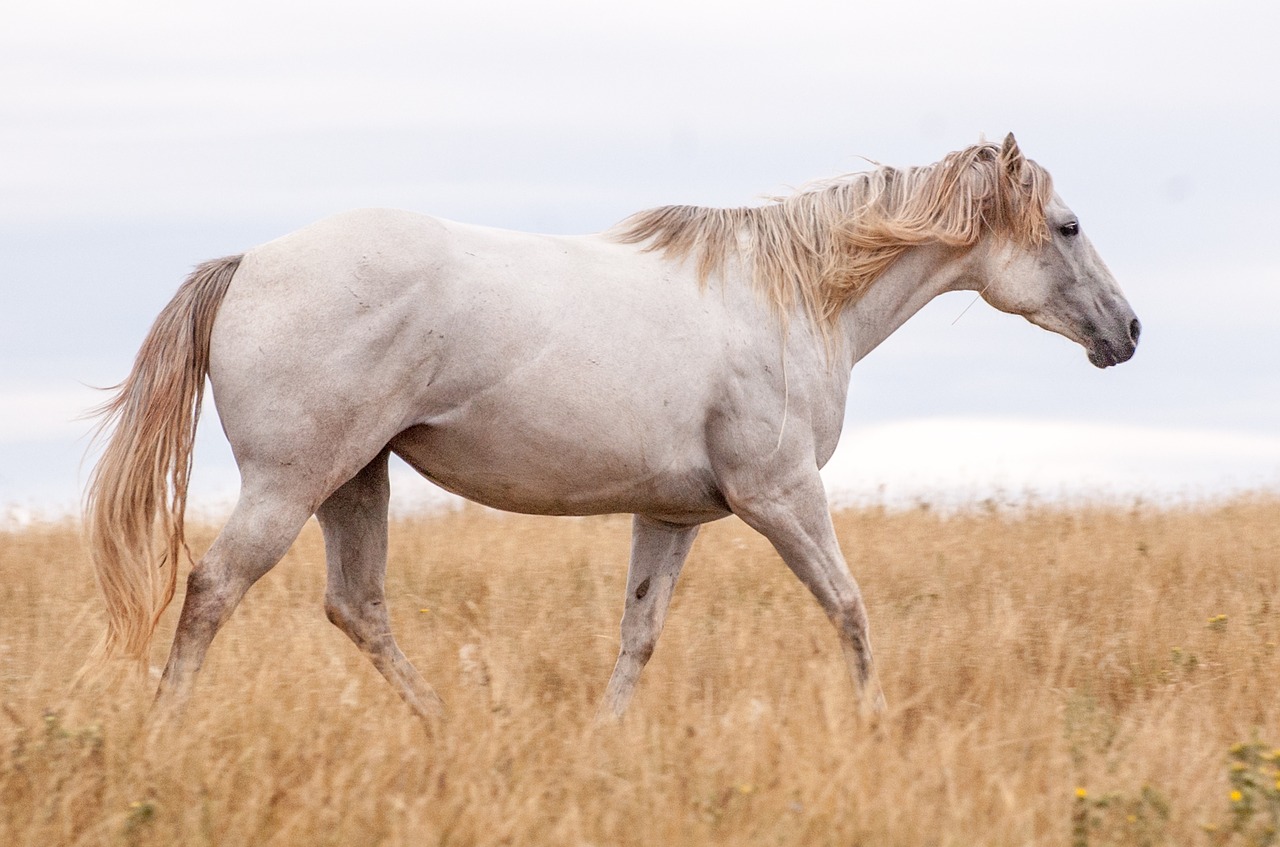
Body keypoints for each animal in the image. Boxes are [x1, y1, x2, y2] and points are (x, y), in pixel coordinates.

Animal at [82, 134, 1141, 721]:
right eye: (1068, 227)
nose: (1128, 332)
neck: (795, 297)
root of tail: (248, 263)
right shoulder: (782, 495)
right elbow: (849, 607)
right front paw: (877, 725)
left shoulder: (672, 516)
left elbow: (639, 634)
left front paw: (606, 737)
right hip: (291, 484)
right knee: (213, 589)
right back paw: (165, 732)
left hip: (355, 479)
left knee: (359, 606)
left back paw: (451, 730)